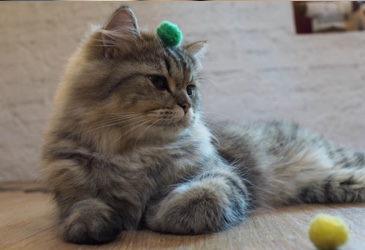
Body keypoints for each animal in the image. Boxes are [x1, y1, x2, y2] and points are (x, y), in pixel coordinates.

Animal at [40, 5, 364, 244]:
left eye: (191, 89)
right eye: (158, 82)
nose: (187, 106)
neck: (132, 152)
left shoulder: (225, 176)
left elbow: (198, 199)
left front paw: (155, 214)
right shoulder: (70, 190)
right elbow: (83, 206)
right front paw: (91, 225)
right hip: (327, 183)